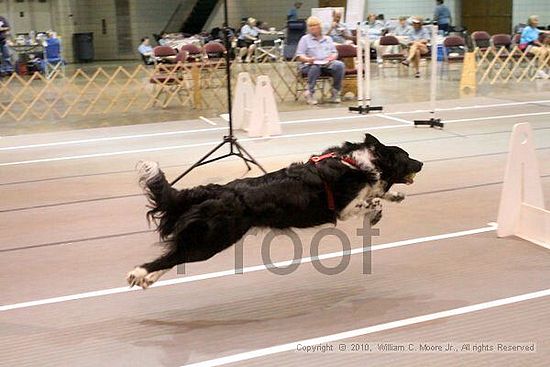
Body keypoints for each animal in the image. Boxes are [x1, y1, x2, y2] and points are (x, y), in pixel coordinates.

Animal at [127, 134, 424, 288]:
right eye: (406, 156)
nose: (421, 163)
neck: (358, 163)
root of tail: (218, 190)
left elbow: (379, 193)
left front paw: (395, 195)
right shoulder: (344, 207)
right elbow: (372, 200)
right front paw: (377, 211)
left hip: (206, 239)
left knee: (175, 254)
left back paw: (147, 278)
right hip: (215, 239)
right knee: (174, 255)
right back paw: (139, 273)